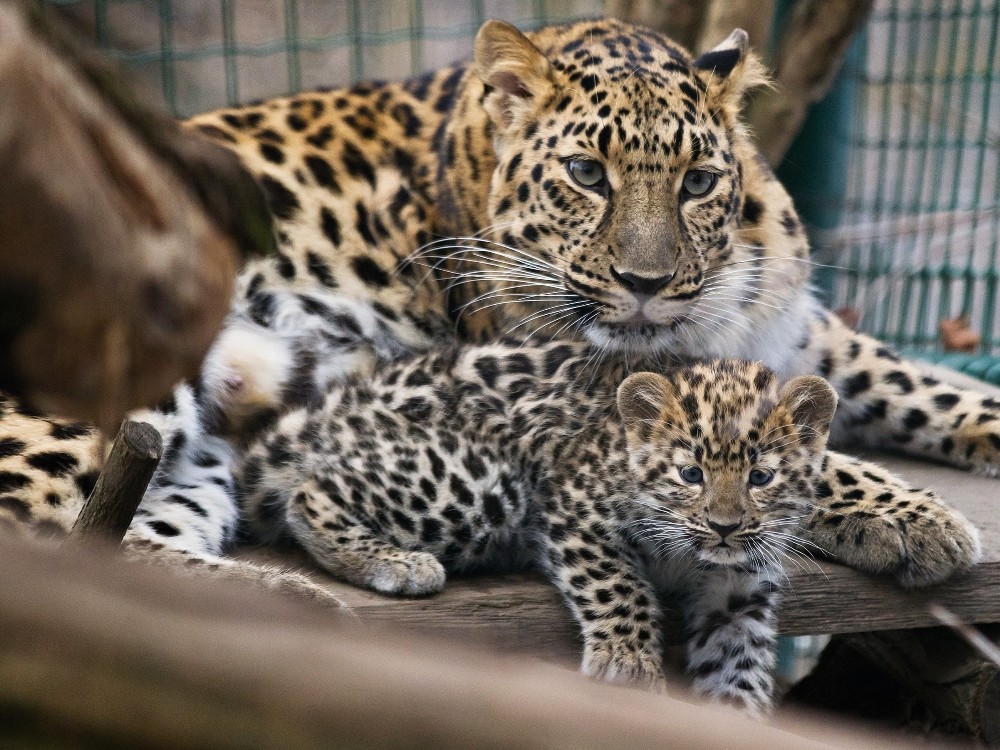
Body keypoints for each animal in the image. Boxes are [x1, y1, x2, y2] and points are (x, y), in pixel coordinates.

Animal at [0, 22, 984, 592]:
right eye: (587, 174)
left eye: (700, 182)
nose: (646, 284)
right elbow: (777, 454)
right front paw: (919, 518)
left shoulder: (799, 329)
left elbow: (916, 381)